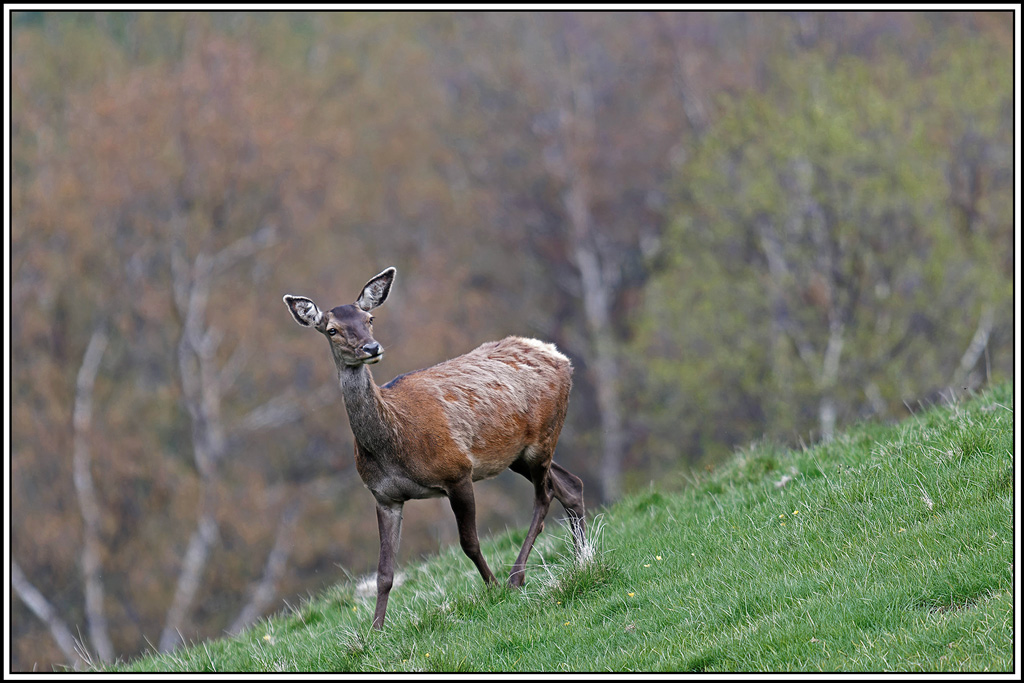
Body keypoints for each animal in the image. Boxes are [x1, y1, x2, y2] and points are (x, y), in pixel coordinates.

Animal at [283, 267, 586, 630]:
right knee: (570, 484)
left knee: (545, 497)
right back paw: (583, 559)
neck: (393, 448)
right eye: (332, 329)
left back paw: (517, 577)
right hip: (517, 453)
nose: (371, 347)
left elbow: (469, 543)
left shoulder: (457, 471)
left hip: (542, 437)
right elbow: (384, 572)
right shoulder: (384, 497)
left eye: (369, 318)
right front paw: (375, 630)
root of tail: (558, 355)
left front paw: (493, 587)